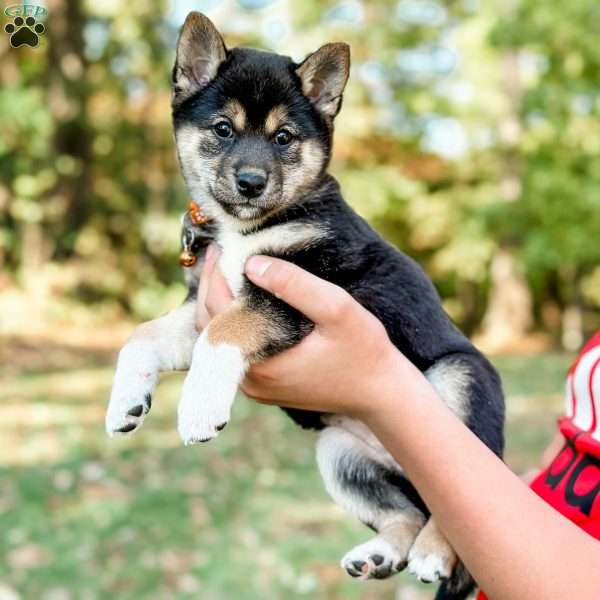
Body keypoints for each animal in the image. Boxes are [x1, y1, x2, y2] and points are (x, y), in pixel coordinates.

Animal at [105, 11, 504, 596]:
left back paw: (434, 552)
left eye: (284, 137)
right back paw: (379, 556)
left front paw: (199, 408)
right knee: (407, 512)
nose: (251, 182)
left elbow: (223, 335)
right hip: (339, 455)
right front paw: (126, 402)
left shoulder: (300, 287)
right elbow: (143, 337)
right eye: (222, 129)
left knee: (454, 500)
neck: (243, 229)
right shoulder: (201, 305)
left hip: (459, 381)